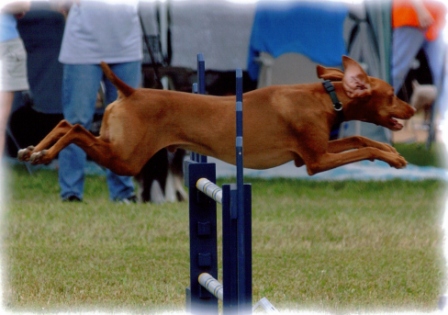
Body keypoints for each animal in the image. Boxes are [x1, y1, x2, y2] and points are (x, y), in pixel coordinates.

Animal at [18, 56, 416, 178]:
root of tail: (131, 91)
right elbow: (363, 148)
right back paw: (42, 154)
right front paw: (393, 159)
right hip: (125, 158)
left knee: (68, 122)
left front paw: (392, 152)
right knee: (76, 128)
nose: (412, 109)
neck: (324, 99)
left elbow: (362, 138)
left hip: (116, 146)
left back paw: (32, 150)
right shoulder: (316, 161)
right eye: (392, 95)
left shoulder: (313, 153)